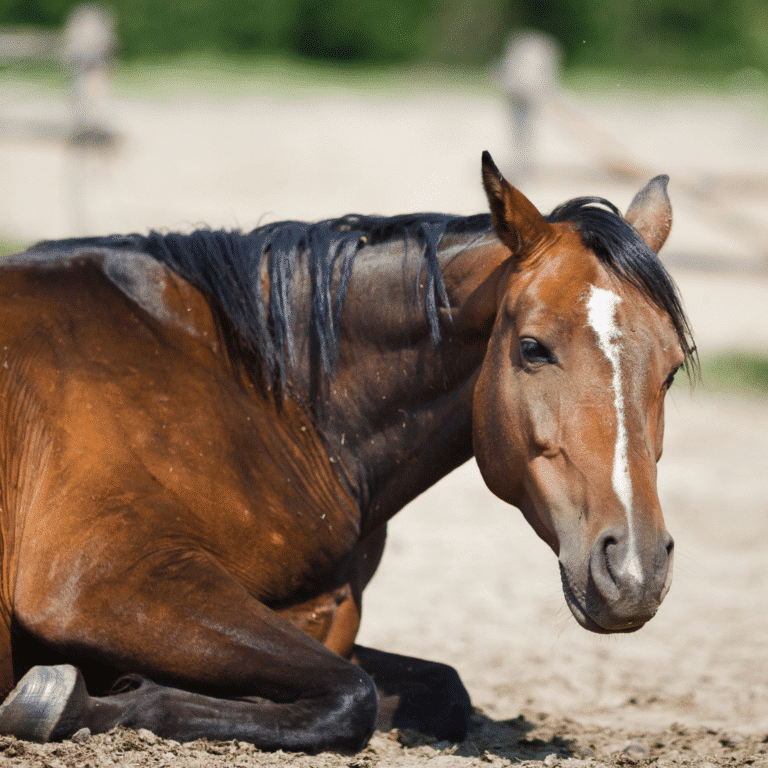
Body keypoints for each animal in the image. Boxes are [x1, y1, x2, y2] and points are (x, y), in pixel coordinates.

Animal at [0, 153, 692, 752]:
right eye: (532, 348)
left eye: (670, 370)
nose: (634, 570)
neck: (255, 391)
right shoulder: (104, 584)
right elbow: (349, 698)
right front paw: (70, 700)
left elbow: (442, 689)